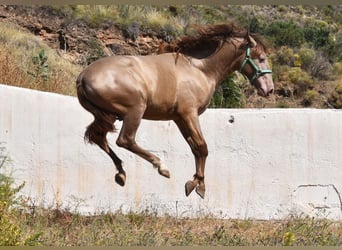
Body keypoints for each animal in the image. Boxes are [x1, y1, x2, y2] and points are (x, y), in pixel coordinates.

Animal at [76, 23, 274, 199]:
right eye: (261, 58)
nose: (269, 90)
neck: (200, 69)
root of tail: (83, 76)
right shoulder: (189, 114)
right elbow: (202, 147)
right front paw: (199, 185)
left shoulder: (179, 118)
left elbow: (194, 148)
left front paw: (195, 182)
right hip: (135, 111)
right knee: (125, 140)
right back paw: (161, 167)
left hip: (106, 116)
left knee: (98, 138)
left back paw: (121, 172)